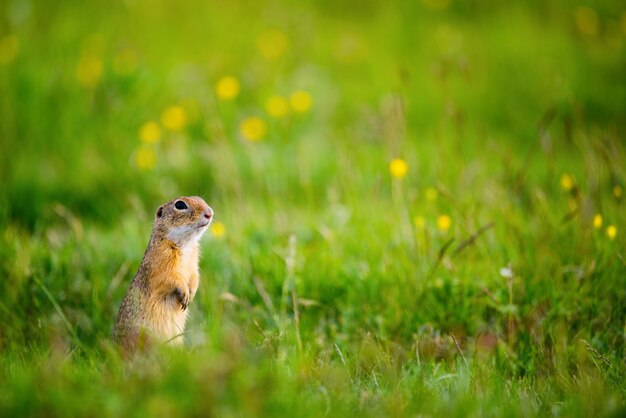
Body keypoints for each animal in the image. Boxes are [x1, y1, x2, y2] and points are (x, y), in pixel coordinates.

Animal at [111, 197, 211, 352]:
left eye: (201, 199)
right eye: (180, 205)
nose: (210, 213)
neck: (186, 244)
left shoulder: (194, 262)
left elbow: (195, 277)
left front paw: (191, 294)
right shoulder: (162, 260)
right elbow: (169, 278)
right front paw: (184, 293)